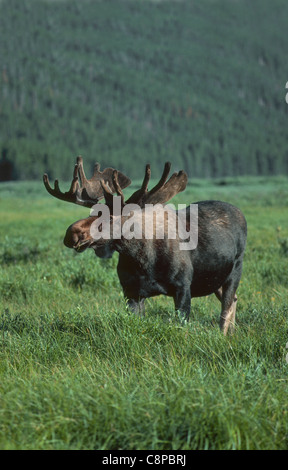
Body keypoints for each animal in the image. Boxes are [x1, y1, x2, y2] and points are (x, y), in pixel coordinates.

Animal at [43, 158, 248, 334]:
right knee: (234, 300)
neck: (142, 261)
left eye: (111, 217)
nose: (72, 233)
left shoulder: (183, 287)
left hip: (235, 269)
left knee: (226, 310)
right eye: (93, 211)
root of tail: (241, 213)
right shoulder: (131, 292)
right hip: (216, 279)